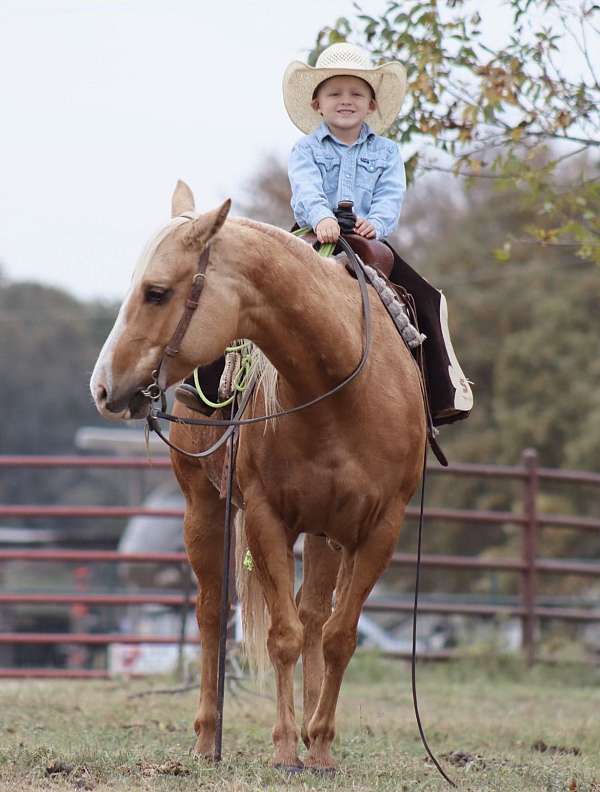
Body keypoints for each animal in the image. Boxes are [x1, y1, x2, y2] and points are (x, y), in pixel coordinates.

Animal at [91, 183, 424, 772]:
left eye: (156, 292)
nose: (103, 387)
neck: (339, 388)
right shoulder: (267, 518)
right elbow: (283, 635)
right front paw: (287, 748)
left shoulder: (380, 528)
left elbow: (337, 636)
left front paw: (320, 745)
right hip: (203, 508)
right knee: (210, 612)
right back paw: (208, 738)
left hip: (325, 532)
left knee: (315, 616)